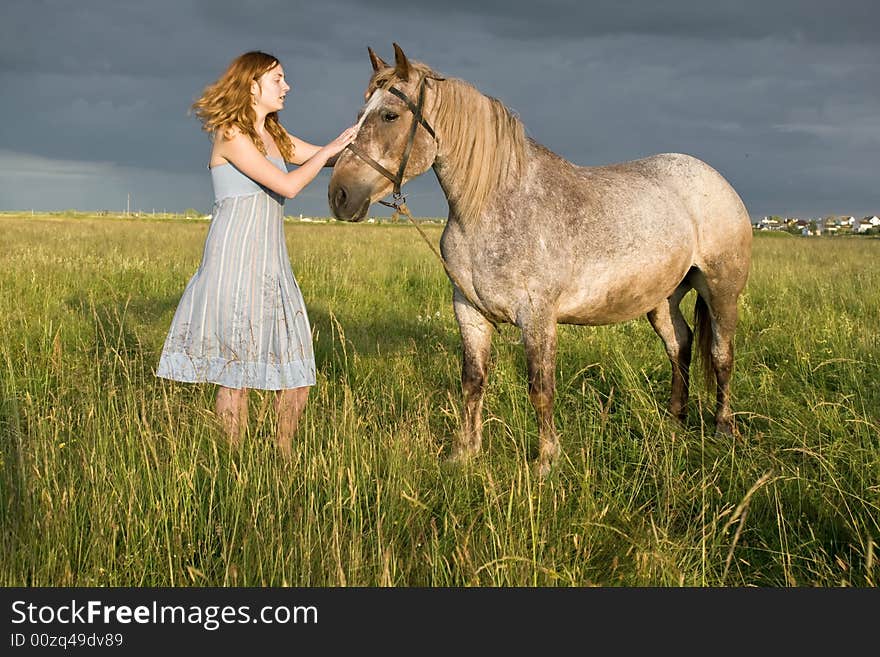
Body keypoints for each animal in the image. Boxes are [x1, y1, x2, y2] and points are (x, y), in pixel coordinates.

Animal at [326, 43, 752, 474]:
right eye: (359, 115)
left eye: (390, 115)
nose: (339, 195)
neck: (492, 208)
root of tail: (715, 180)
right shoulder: (468, 311)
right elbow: (472, 382)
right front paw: (464, 453)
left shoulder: (537, 316)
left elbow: (540, 388)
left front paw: (546, 460)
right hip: (661, 299)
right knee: (679, 345)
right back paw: (674, 421)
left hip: (721, 291)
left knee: (721, 354)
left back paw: (723, 428)